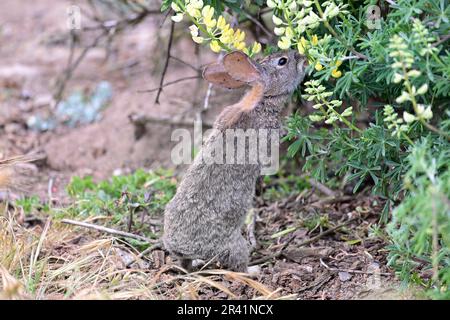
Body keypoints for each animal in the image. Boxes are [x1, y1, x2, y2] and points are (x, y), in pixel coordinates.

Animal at [163, 50, 308, 272]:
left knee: (186, 265)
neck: (262, 100)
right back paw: (254, 271)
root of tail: (180, 247)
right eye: (282, 61)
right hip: (234, 244)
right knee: (238, 263)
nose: (302, 57)